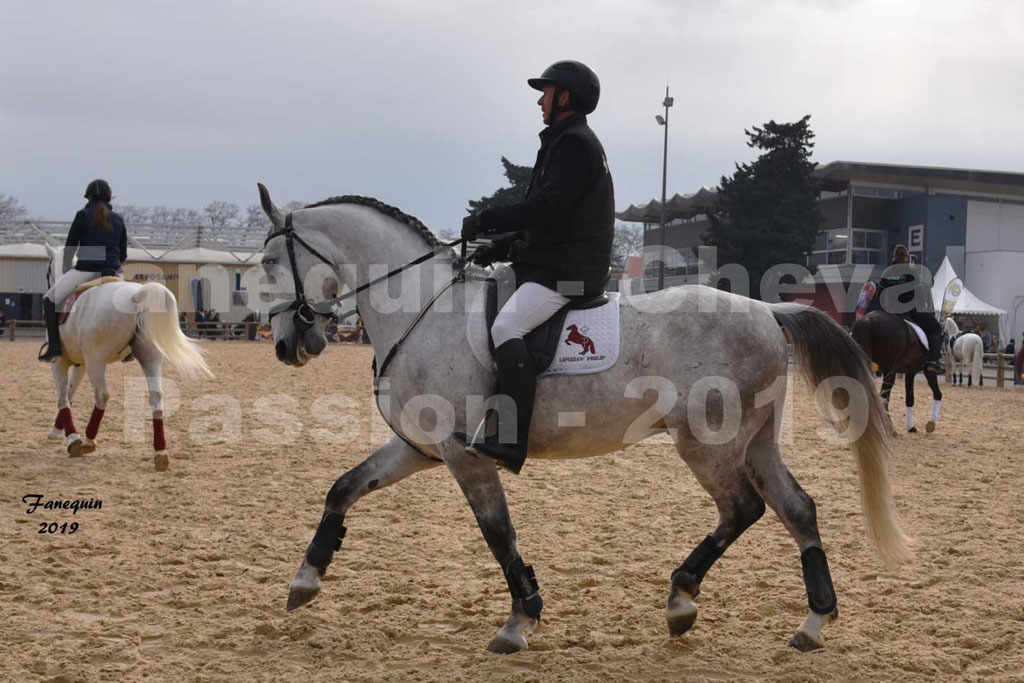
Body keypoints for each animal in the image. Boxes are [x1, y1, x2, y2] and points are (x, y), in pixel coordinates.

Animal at [258, 184, 913, 655]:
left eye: (266, 261)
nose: (288, 344)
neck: (425, 309)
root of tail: (768, 311)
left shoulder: (466, 455)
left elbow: (499, 534)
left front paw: (519, 621)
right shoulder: (420, 448)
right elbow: (343, 489)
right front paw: (305, 580)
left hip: (707, 443)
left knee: (742, 509)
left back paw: (682, 600)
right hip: (755, 442)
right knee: (797, 508)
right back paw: (813, 623)